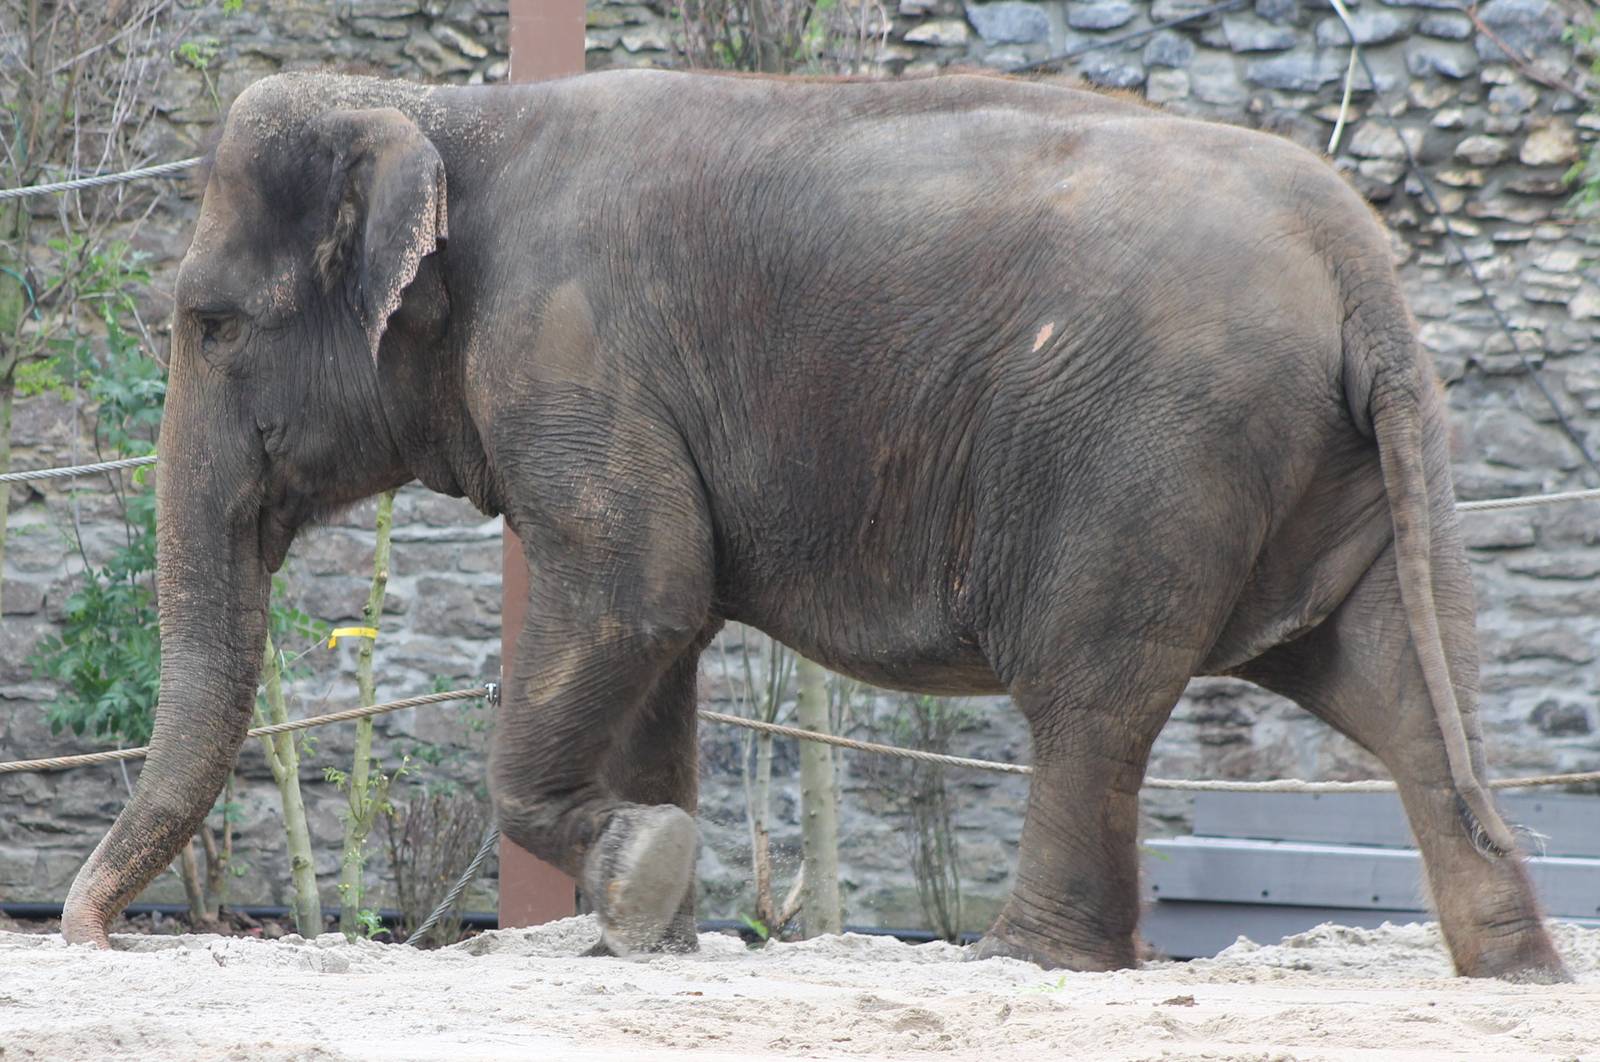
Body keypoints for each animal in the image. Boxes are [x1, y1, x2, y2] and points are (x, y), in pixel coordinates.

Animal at [59, 68, 1567, 981]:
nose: (92, 937)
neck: (454, 115)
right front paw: (652, 929)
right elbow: (660, 636)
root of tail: (1357, 260)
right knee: (1401, 685)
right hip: (1343, 464)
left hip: (1156, 450)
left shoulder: (570, 348)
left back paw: (1025, 963)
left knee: (1093, 696)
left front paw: (640, 873)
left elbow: (638, 590)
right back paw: (1513, 967)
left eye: (211, 325)